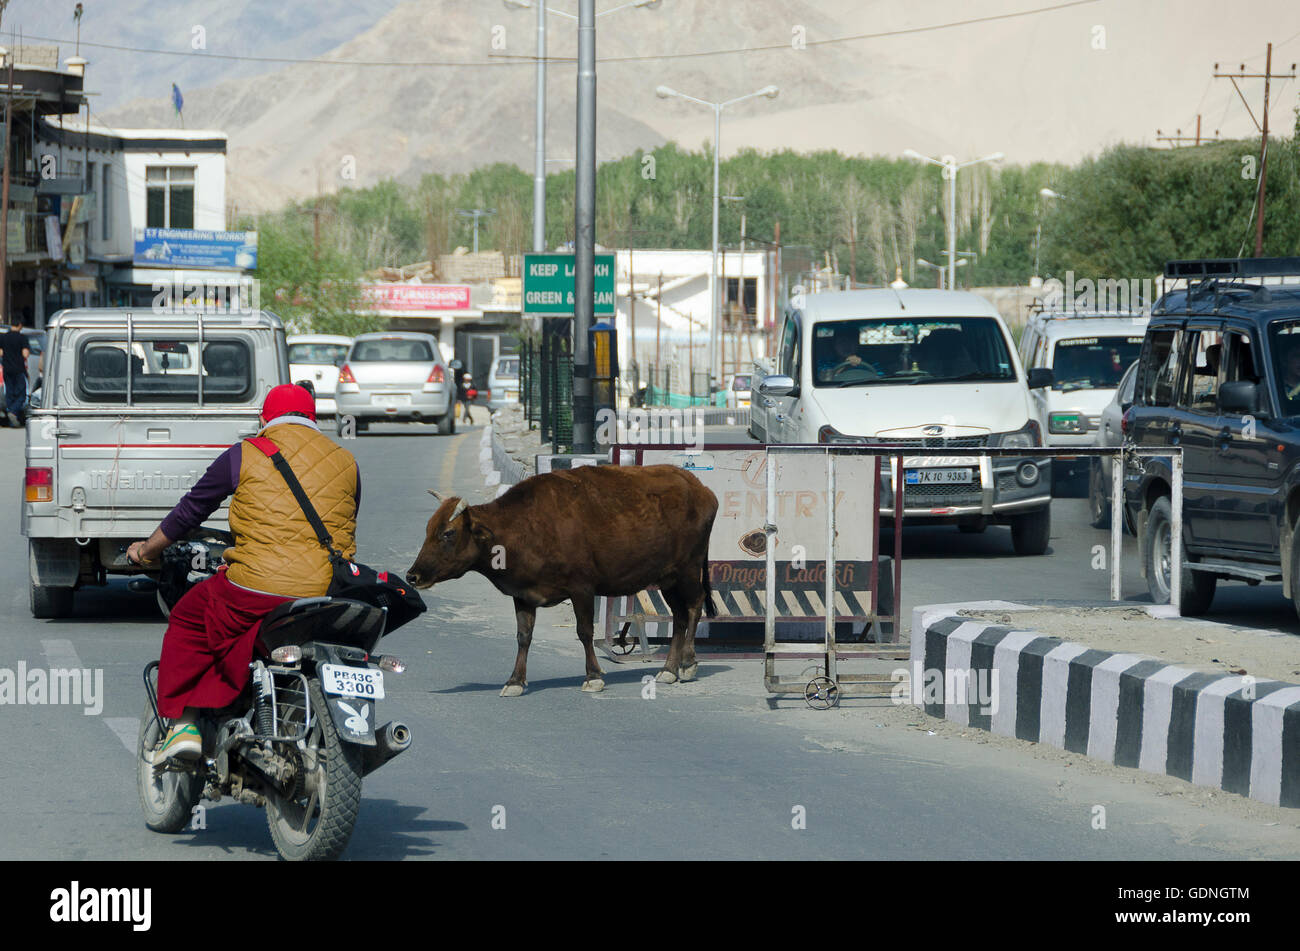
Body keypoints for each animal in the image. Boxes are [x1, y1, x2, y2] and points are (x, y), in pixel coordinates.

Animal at [405, 465, 717, 696]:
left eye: (448, 533)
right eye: (428, 530)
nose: (412, 575)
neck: (523, 528)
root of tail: (698, 486)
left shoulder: (582, 588)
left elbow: (584, 631)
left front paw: (593, 676)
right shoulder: (523, 595)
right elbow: (523, 636)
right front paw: (515, 681)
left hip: (688, 569)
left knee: (694, 605)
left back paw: (687, 663)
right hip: (667, 578)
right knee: (679, 615)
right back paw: (668, 670)